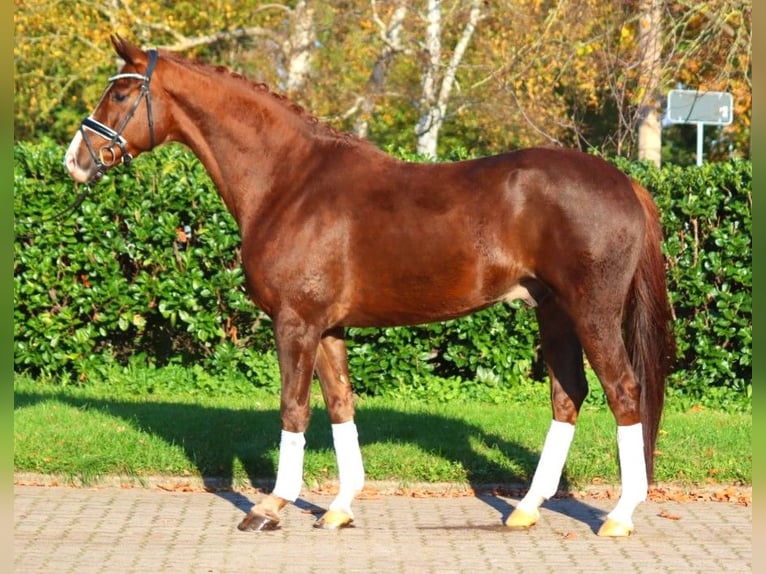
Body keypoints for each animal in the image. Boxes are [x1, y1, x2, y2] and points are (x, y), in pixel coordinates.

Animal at [66, 37, 680, 540]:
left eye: (121, 92)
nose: (75, 161)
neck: (288, 182)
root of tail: (627, 183)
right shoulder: (328, 327)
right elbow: (340, 406)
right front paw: (339, 507)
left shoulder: (295, 323)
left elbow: (293, 410)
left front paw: (270, 506)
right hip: (552, 314)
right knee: (568, 394)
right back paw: (526, 508)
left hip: (592, 312)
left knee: (623, 392)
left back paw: (619, 515)